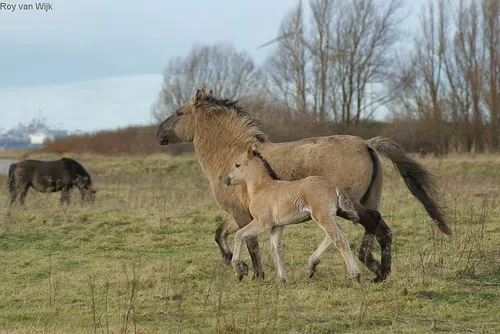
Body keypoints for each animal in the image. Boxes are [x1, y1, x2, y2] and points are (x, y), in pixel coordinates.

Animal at [154, 88, 452, 282]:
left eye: (179, 112)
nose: (158, 134)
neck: (233, 156)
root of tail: (367, 144)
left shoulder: (242, 214)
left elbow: (249, 242)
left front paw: (251, 273)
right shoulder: (243, 213)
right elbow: (221, 233)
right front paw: (236, 264)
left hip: (345, 206)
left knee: (366, 225)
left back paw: (366, 266)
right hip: (359, 203)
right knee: (381, 229)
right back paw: (379, 271)